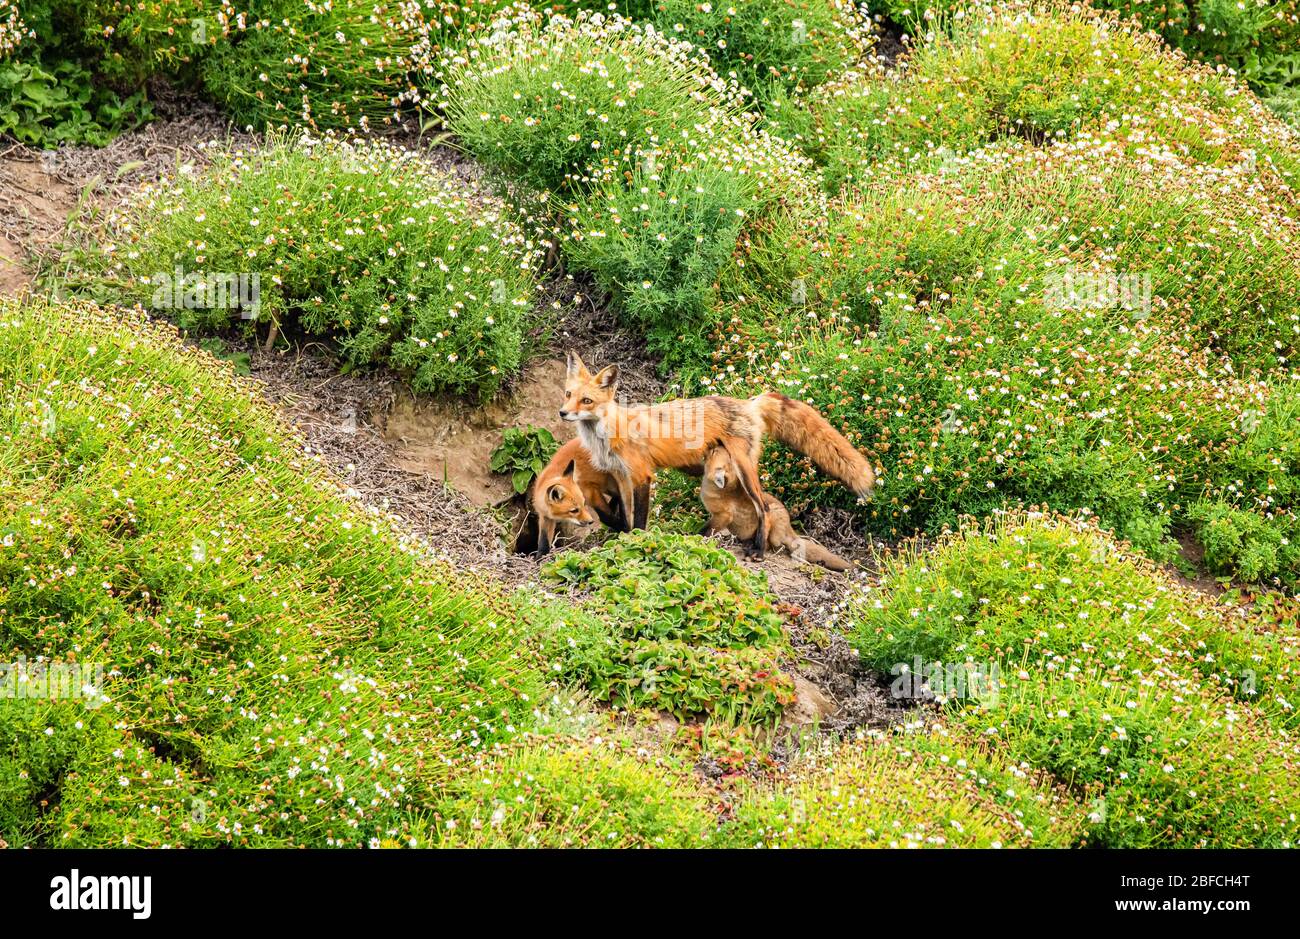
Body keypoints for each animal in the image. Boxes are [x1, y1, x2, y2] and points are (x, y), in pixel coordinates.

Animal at [560, 351, 875, 556]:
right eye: (568, 395)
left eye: (586, 401)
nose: (562, 413)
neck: (606, 434)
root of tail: (750, 402)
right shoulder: (621, 476)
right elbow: (622, 516)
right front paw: (619, 535)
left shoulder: (641, 476)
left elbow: (638, 520)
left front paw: (636, 540)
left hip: (743, 467)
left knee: (763, 506)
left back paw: (758, 550)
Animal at [701, 442, 853, 571]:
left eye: (714, 451)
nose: (717, 442)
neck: (721, 491)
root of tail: (789, 526)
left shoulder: (723, 515)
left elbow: (706, 529)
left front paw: (699, 537)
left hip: (772, 519)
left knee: (770, 545)